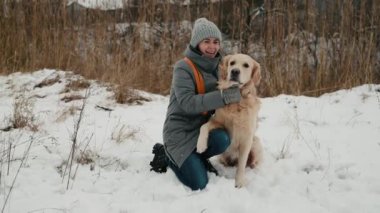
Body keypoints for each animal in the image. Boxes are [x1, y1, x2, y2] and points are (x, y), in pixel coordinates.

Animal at [197, 53, 262, 188]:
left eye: (246, 65)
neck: (237, 102)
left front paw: (239, 183)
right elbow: (204, 126)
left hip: (256, 142)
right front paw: (200, 145)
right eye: (232, 63)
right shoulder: (218, 122)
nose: (235, 71)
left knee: (249, 162)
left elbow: (242, 164)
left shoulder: (247, 137)